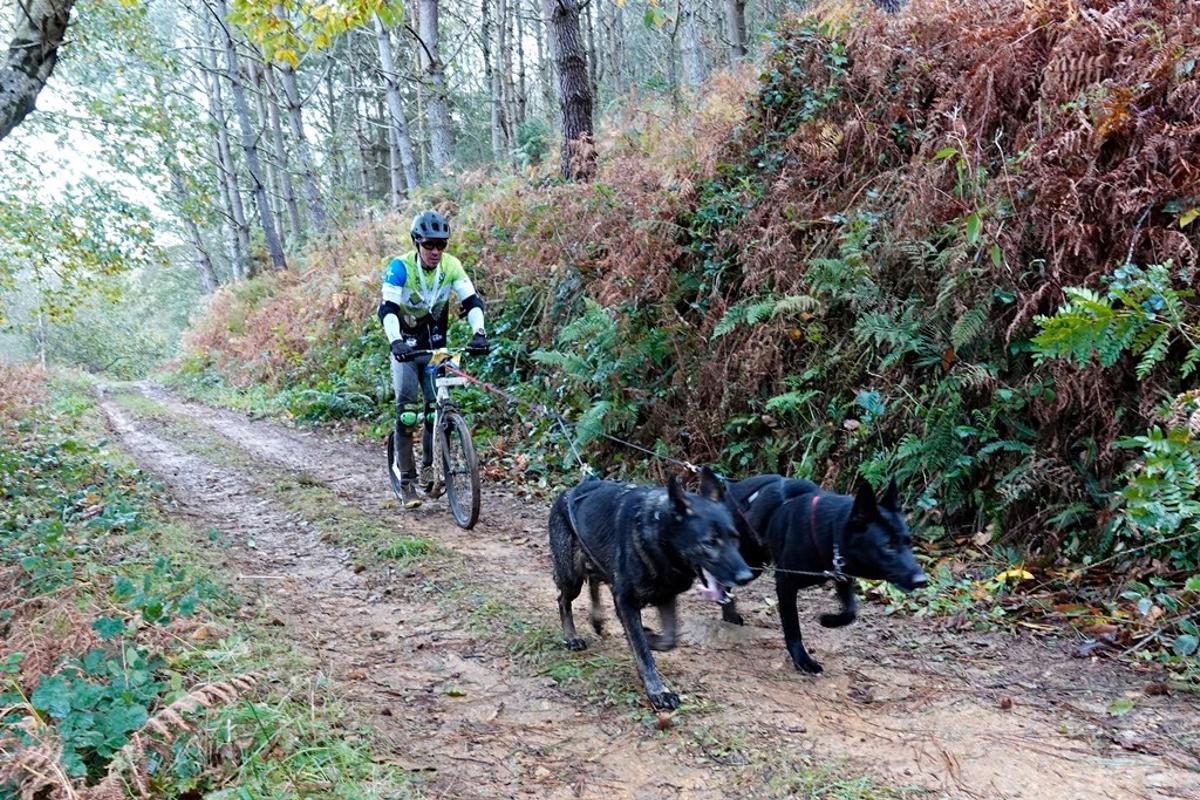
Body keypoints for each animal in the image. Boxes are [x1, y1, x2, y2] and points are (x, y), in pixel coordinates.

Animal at [549, 465, 753, 710]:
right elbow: (643, 651)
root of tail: (569, 492)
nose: (746, 576)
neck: (659, 534)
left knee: (595, 582)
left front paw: (650, 637)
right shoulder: (626, 602)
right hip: (572, 577)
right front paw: (658, 691)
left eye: (735, 538)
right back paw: (571, 637)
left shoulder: (666, 597)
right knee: (563, 600)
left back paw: (597, 619)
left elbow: (670, 639)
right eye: (710, 543)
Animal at [710, 474, 926, 676]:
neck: (830, 529)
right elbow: (793, 628)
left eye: (908, 542)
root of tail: (733, 487)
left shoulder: (843, 577)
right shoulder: (786, 584)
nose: (922, 580)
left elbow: (850, 611)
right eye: (888, 546)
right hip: (752, 562)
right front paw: (802, 660)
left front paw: (829, 620)